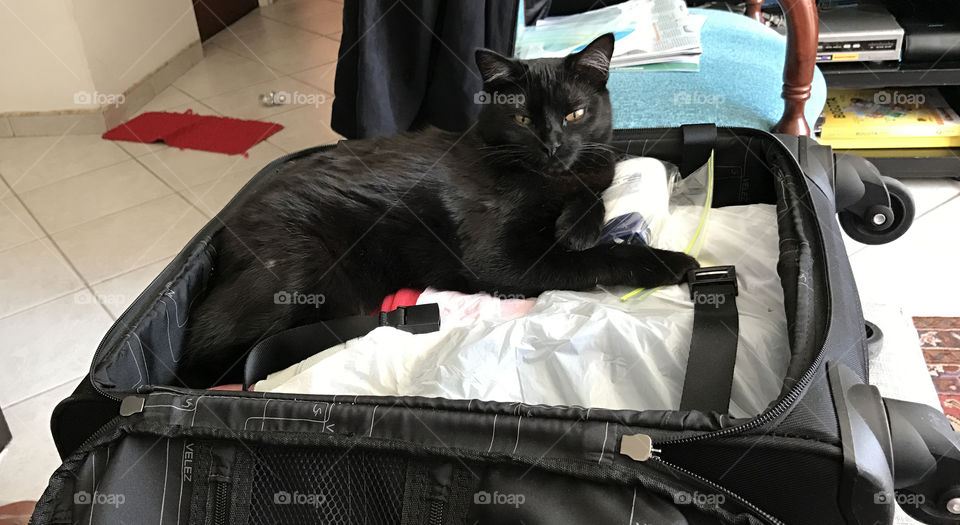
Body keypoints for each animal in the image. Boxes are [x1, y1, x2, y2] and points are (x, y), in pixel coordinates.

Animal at [182, 33, 696, 384]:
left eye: (575, 114)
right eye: (522, 118)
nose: (552, 145)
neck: (545, 177)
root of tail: (227, 229)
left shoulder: (593, 167)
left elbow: (595, 187)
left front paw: (577, 225)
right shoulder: (500, 261)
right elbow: (598, 257)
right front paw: (668, 262)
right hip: (297, 273)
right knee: (200, 352)